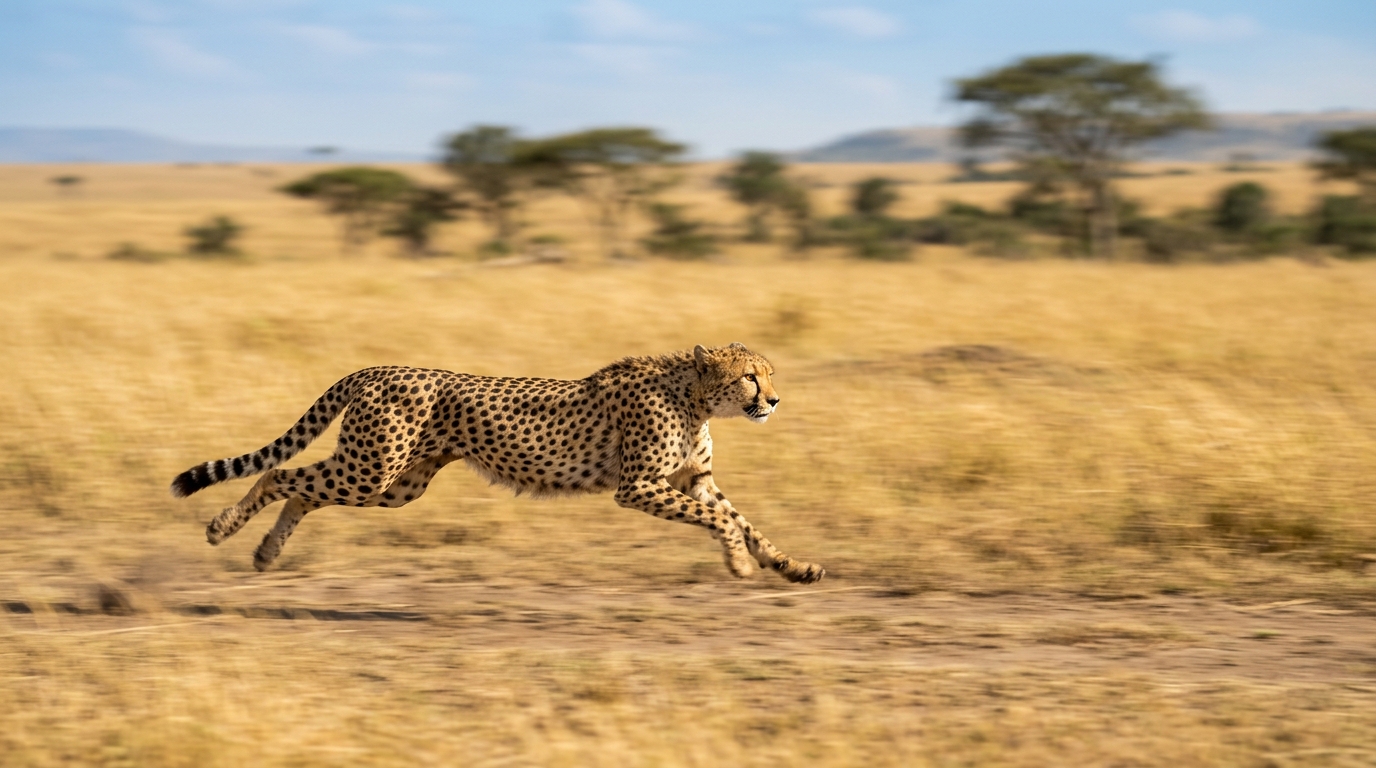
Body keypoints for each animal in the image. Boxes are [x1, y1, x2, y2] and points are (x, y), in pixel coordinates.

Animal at [170, 343, 826, 583]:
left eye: (769, 374)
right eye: (751, 377)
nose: (773, 401)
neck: (694, 393)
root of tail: (378, 366)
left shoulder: (696, 479)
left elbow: (739, 517)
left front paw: (790, 564)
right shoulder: (639, 485)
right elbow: (721, 521)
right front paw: (738, 563)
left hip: (396, 482)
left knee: (303, 490)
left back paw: (265, 553)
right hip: (373, 468)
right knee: (279, 473)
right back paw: (222, 529)